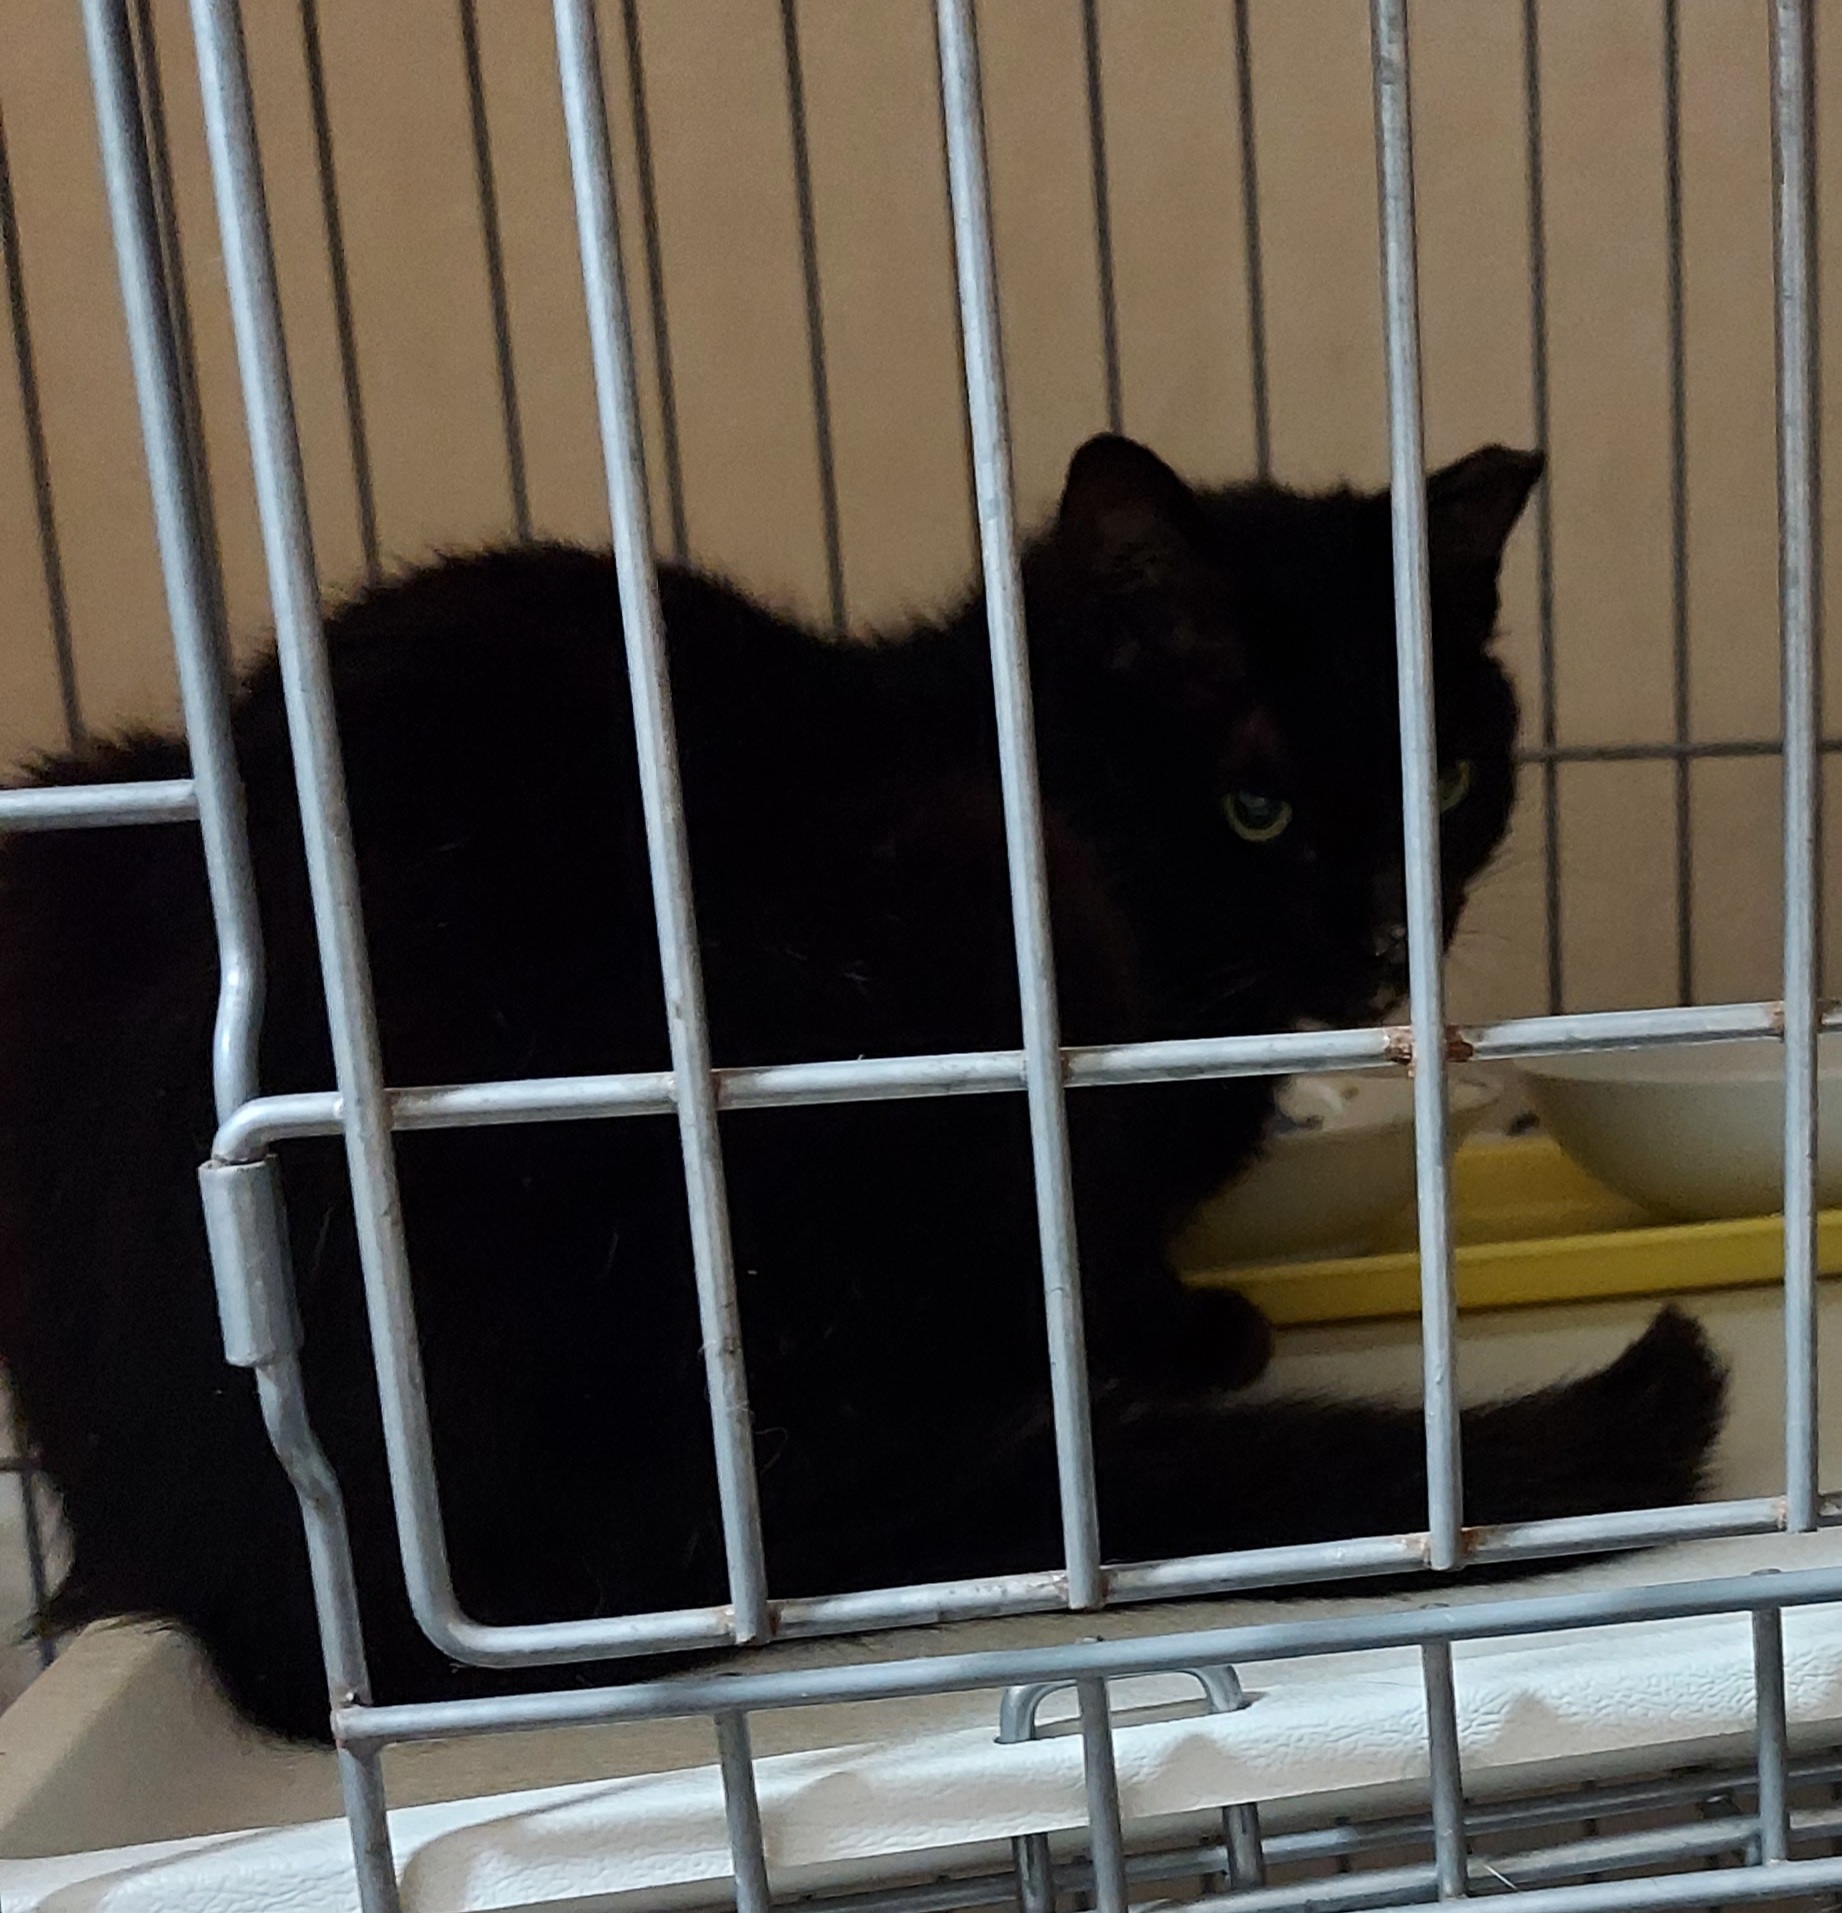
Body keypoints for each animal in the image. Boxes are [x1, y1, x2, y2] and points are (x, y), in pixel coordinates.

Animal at [0, 433, 1725, 1744]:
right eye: (1257, 805)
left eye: (1449, 780)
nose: (1383, 941)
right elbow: (1101, 1242)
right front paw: (1188, 1332)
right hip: (954, 894)